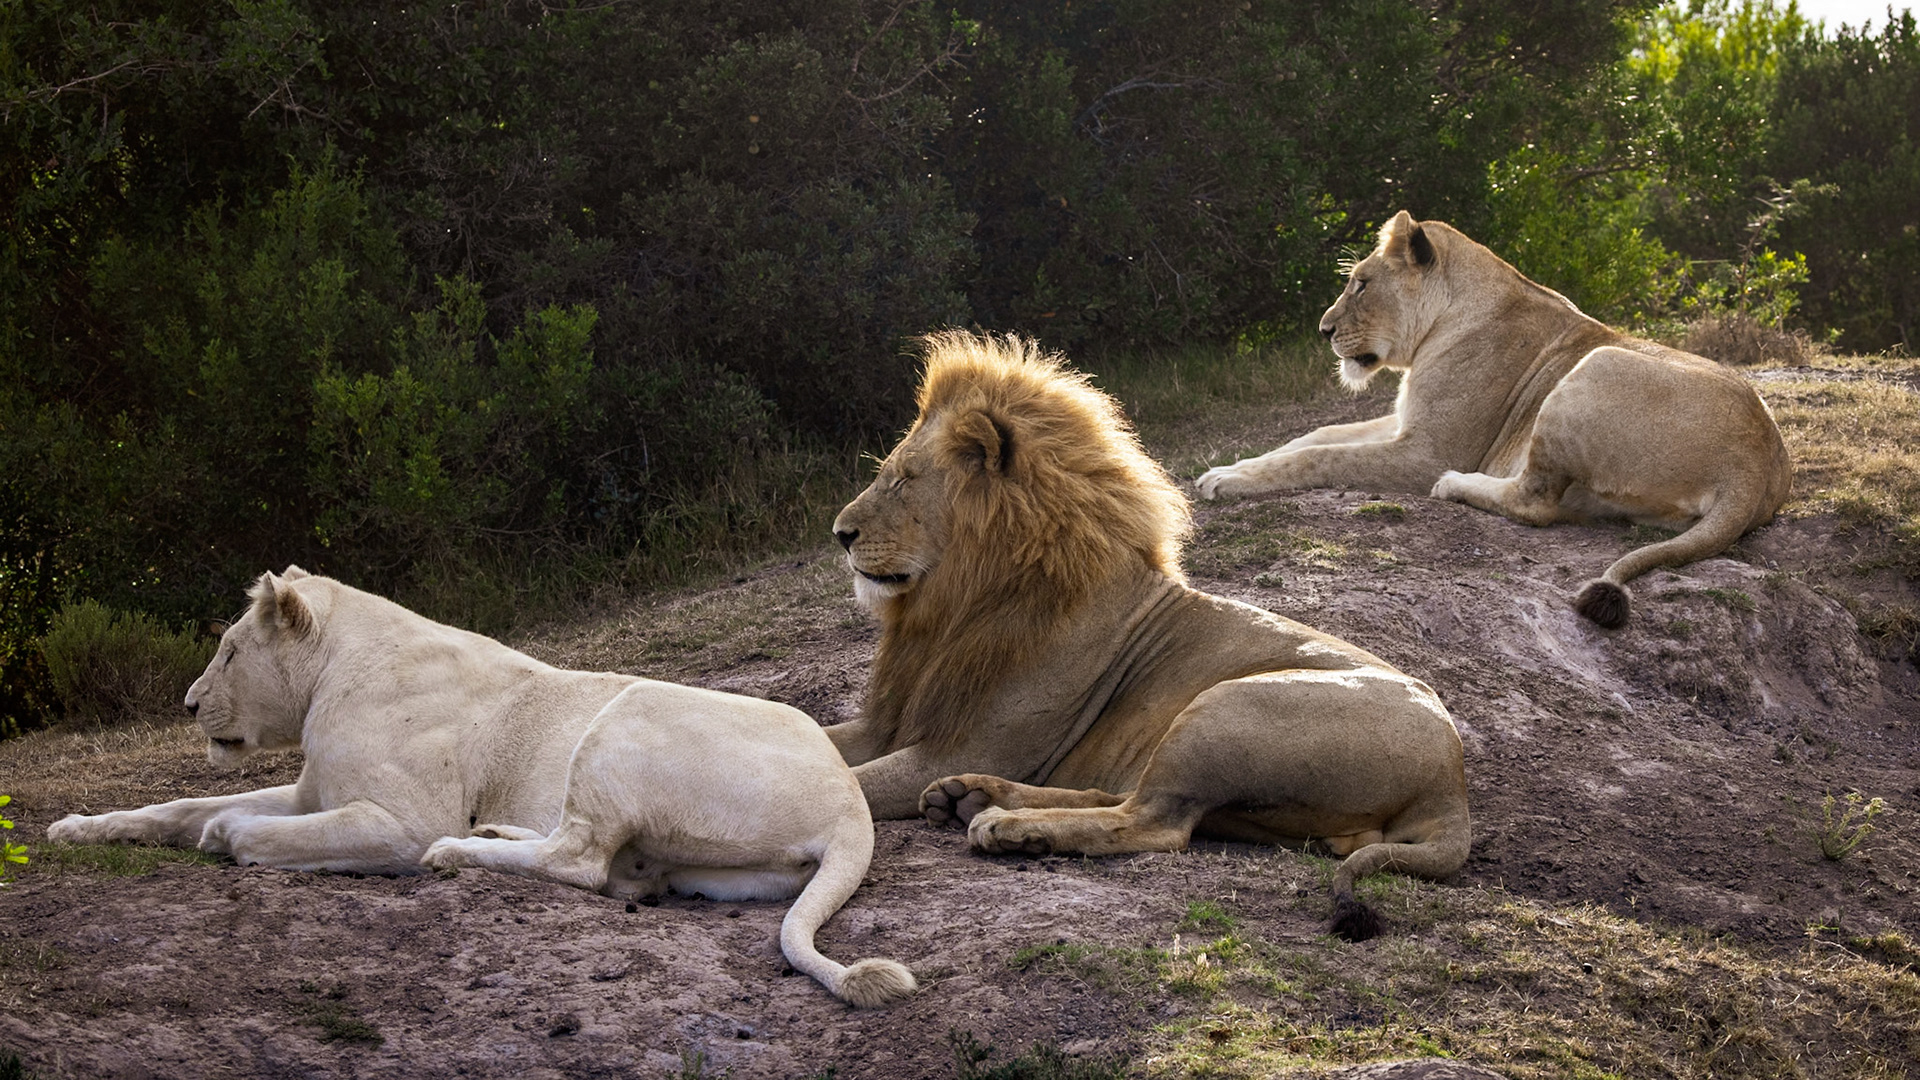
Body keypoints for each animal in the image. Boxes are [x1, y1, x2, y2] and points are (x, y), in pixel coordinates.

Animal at [45, 568, 915, 1007]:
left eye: (228, 652)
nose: (189, 705)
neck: (331, 670)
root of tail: (850, 805)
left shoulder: (395, 818)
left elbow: (244, 833)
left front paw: (224, 839)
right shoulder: (311, 789)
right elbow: (180, 805)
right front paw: (77, 829)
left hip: (625, 714)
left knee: (579, 862)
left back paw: (460, 851)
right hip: (712, 860)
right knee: (613, 868)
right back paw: (499, 836)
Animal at [828, 331, 1470, 940]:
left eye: (904, 481)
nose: (840, 533)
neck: (952, 609)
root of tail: (1451, 786)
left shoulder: (966, 743)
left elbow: (852, 784)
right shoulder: (897, 723)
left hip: (1225, 706)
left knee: (1154, 822)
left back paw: (1007, 824)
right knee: (1120, 798)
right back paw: (970, 797)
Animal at [1194, 211, 1792, 628]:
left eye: (1361, 283)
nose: (1323, 330)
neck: (1445, 316)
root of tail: (1755, 464)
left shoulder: (1428, 451)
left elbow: (1319, 456)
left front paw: (1228, 480)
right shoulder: (1404, 423)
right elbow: (1312, 435)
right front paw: (1231, 466)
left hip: (1595, 365)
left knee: (1534, 503)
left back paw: (1458, 485)